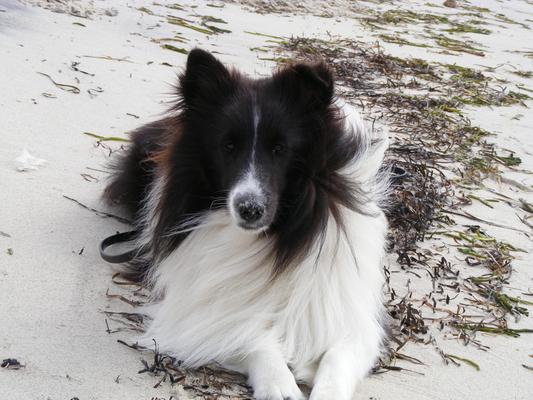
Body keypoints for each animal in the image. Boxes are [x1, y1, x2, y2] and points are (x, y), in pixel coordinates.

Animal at [103, 49, 386, 400]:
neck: (273, 238)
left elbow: (337, 357)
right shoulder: (200, 311)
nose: (249, 209)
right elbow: (251, 337)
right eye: (228, 146)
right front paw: (279, 384)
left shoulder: (346, 314)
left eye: (280, 148)